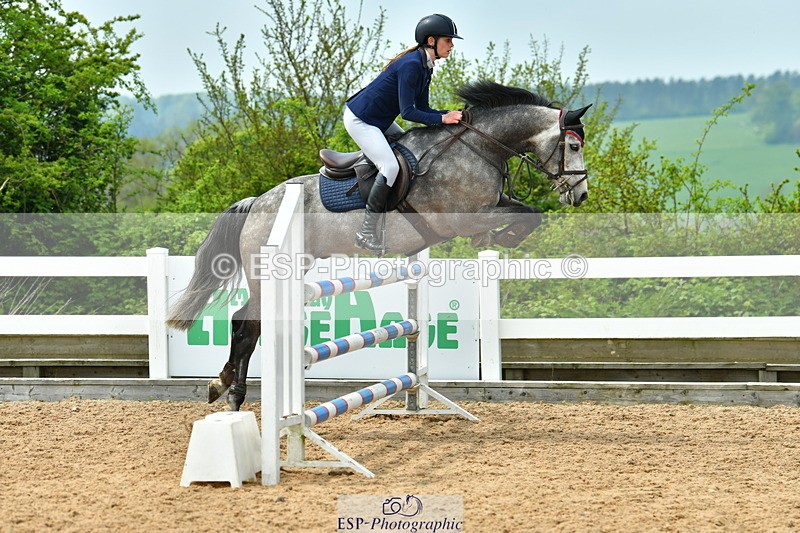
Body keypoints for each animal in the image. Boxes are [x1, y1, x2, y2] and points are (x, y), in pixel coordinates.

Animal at [166, 80, 591, 410]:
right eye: (573, 147)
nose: (581, 195)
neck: (476, 147)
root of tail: (257, 203)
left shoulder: (492, 204)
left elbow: (528, 212)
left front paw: (500, 238)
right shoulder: (459, 217)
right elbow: (522, 216)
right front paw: (496, 238)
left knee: (246, 325)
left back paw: (219, 384)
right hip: (265, 271)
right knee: (246, 326)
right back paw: (233, 395)